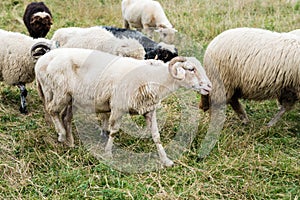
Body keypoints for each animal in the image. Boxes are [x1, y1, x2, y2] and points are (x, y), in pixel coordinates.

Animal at [35, 47, 212, 166]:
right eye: (191, 69)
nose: (209, 87)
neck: (154, 78)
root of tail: (42, 62)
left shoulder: (149, 109)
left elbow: (156, 135)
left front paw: (166, 160)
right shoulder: (118, 107)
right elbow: (113, 131)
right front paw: (108, 154)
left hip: (71, 98)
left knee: (65, 117)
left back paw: (70, 142)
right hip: (59, 92)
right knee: (52, 111)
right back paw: (62, 135)